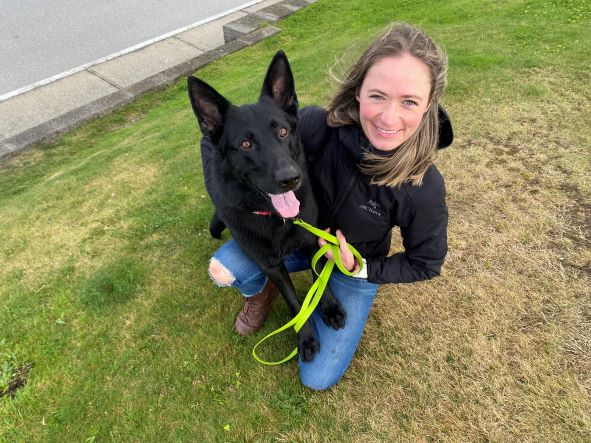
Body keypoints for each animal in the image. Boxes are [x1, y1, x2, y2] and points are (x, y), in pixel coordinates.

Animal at [188, 50, 346, 362]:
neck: (277, 220)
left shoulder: (313, 240)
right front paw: (306, 336)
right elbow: (295, 303)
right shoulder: (270, 265)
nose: (291, 178)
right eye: (246, 144)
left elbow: (319, 279)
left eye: (283, 131)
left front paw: (329, 308)